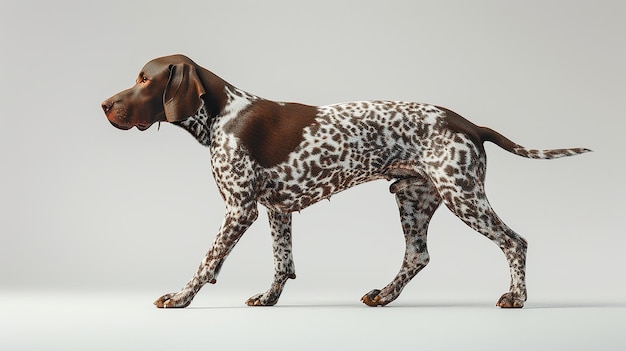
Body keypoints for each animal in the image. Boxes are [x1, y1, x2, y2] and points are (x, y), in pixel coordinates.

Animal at [100, 54, 588, 308]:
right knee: (418, 255)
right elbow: (282, 263)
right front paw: (269, 298)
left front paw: (181, 296)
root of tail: (468, 123)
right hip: (412, 199)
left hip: (462, 195)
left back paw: (516, 297)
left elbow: (207, 260)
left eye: (144, 78)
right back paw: (385, 295)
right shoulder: (277, 211)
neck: (222, 114)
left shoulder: (239, 210)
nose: (103, 105)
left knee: (515, 242)